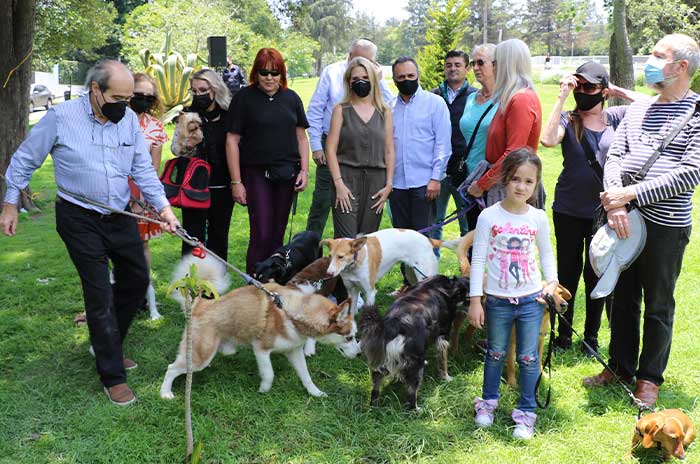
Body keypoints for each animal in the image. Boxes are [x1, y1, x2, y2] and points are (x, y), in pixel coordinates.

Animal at [160, 282, 360, 398]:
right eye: (349, 337)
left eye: (355, 336)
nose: (359, 354)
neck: (291, 312)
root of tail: (200, 304)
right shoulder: (261, 349)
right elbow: (269, 374)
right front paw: (263, 391)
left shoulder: (294, 351)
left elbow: (306, 376)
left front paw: (315, 393)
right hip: (200, 357)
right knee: (171, 368)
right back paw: (165, 393)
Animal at [358, 276, 468, 410]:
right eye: (468, 297)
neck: (448, 286)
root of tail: (393, 325)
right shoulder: (443, 336)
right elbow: (443, 362)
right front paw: (446, 378)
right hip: (416, 365)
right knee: (411, 396)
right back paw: (417, 409)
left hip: (381, 364)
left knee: (375, 389)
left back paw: (374, 406)